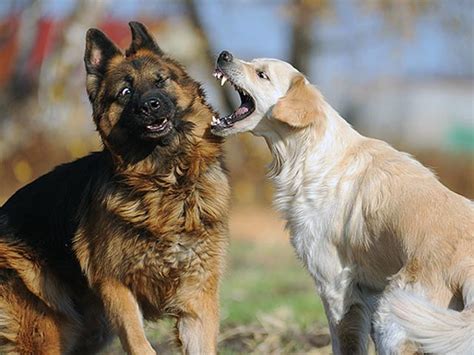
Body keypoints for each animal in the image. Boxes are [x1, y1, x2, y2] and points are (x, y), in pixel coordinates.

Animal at [0, 23, 230, 355]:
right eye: (125, 92)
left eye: (161, 80)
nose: (151, 105)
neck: (165, 184)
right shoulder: (116, 286)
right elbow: (139, 343)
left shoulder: (197, 300)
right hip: (45, 333)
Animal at [211, 51, 474, 354]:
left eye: (261, 74)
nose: (223, 55)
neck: (309, 153)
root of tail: (467, 269)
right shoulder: (366, 289)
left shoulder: (334, 285)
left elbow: (343, 340)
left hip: (393, 315)